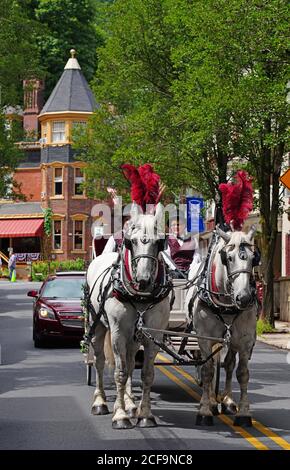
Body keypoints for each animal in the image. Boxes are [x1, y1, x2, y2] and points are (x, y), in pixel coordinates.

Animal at [87, 202, 171, 430]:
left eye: (159, 243)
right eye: (131, 242)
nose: (143, 280)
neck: (140, 296)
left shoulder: (153, 335)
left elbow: (146, 374)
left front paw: (144, 414)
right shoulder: (117, 334)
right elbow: (120, 372)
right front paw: (120, 415)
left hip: (135, 337)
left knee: (132, 362)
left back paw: (130, 404)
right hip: (97, 326)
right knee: (99, 361)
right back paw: (100, 402)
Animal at [187, 226, 258, 428]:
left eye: (254, 257)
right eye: (229, 257)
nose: (244, 298)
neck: (226, 304)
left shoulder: (245, 340)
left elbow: (242, 373)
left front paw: (243, 413)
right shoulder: (205, 338)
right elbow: (208, 371)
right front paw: (204, 411)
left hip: (230, 341)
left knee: (228, 364)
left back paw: (227, 401)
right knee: (213, 366)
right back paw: (212, 401)